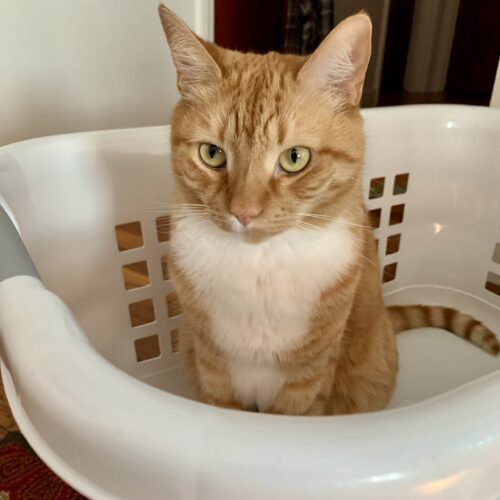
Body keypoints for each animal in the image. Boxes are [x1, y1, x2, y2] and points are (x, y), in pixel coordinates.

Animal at [158, 5, 498, 416]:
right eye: (212, 154)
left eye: (294, 158)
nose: (244, 212)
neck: (260, 266)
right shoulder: (212, 368)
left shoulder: (308, 377)